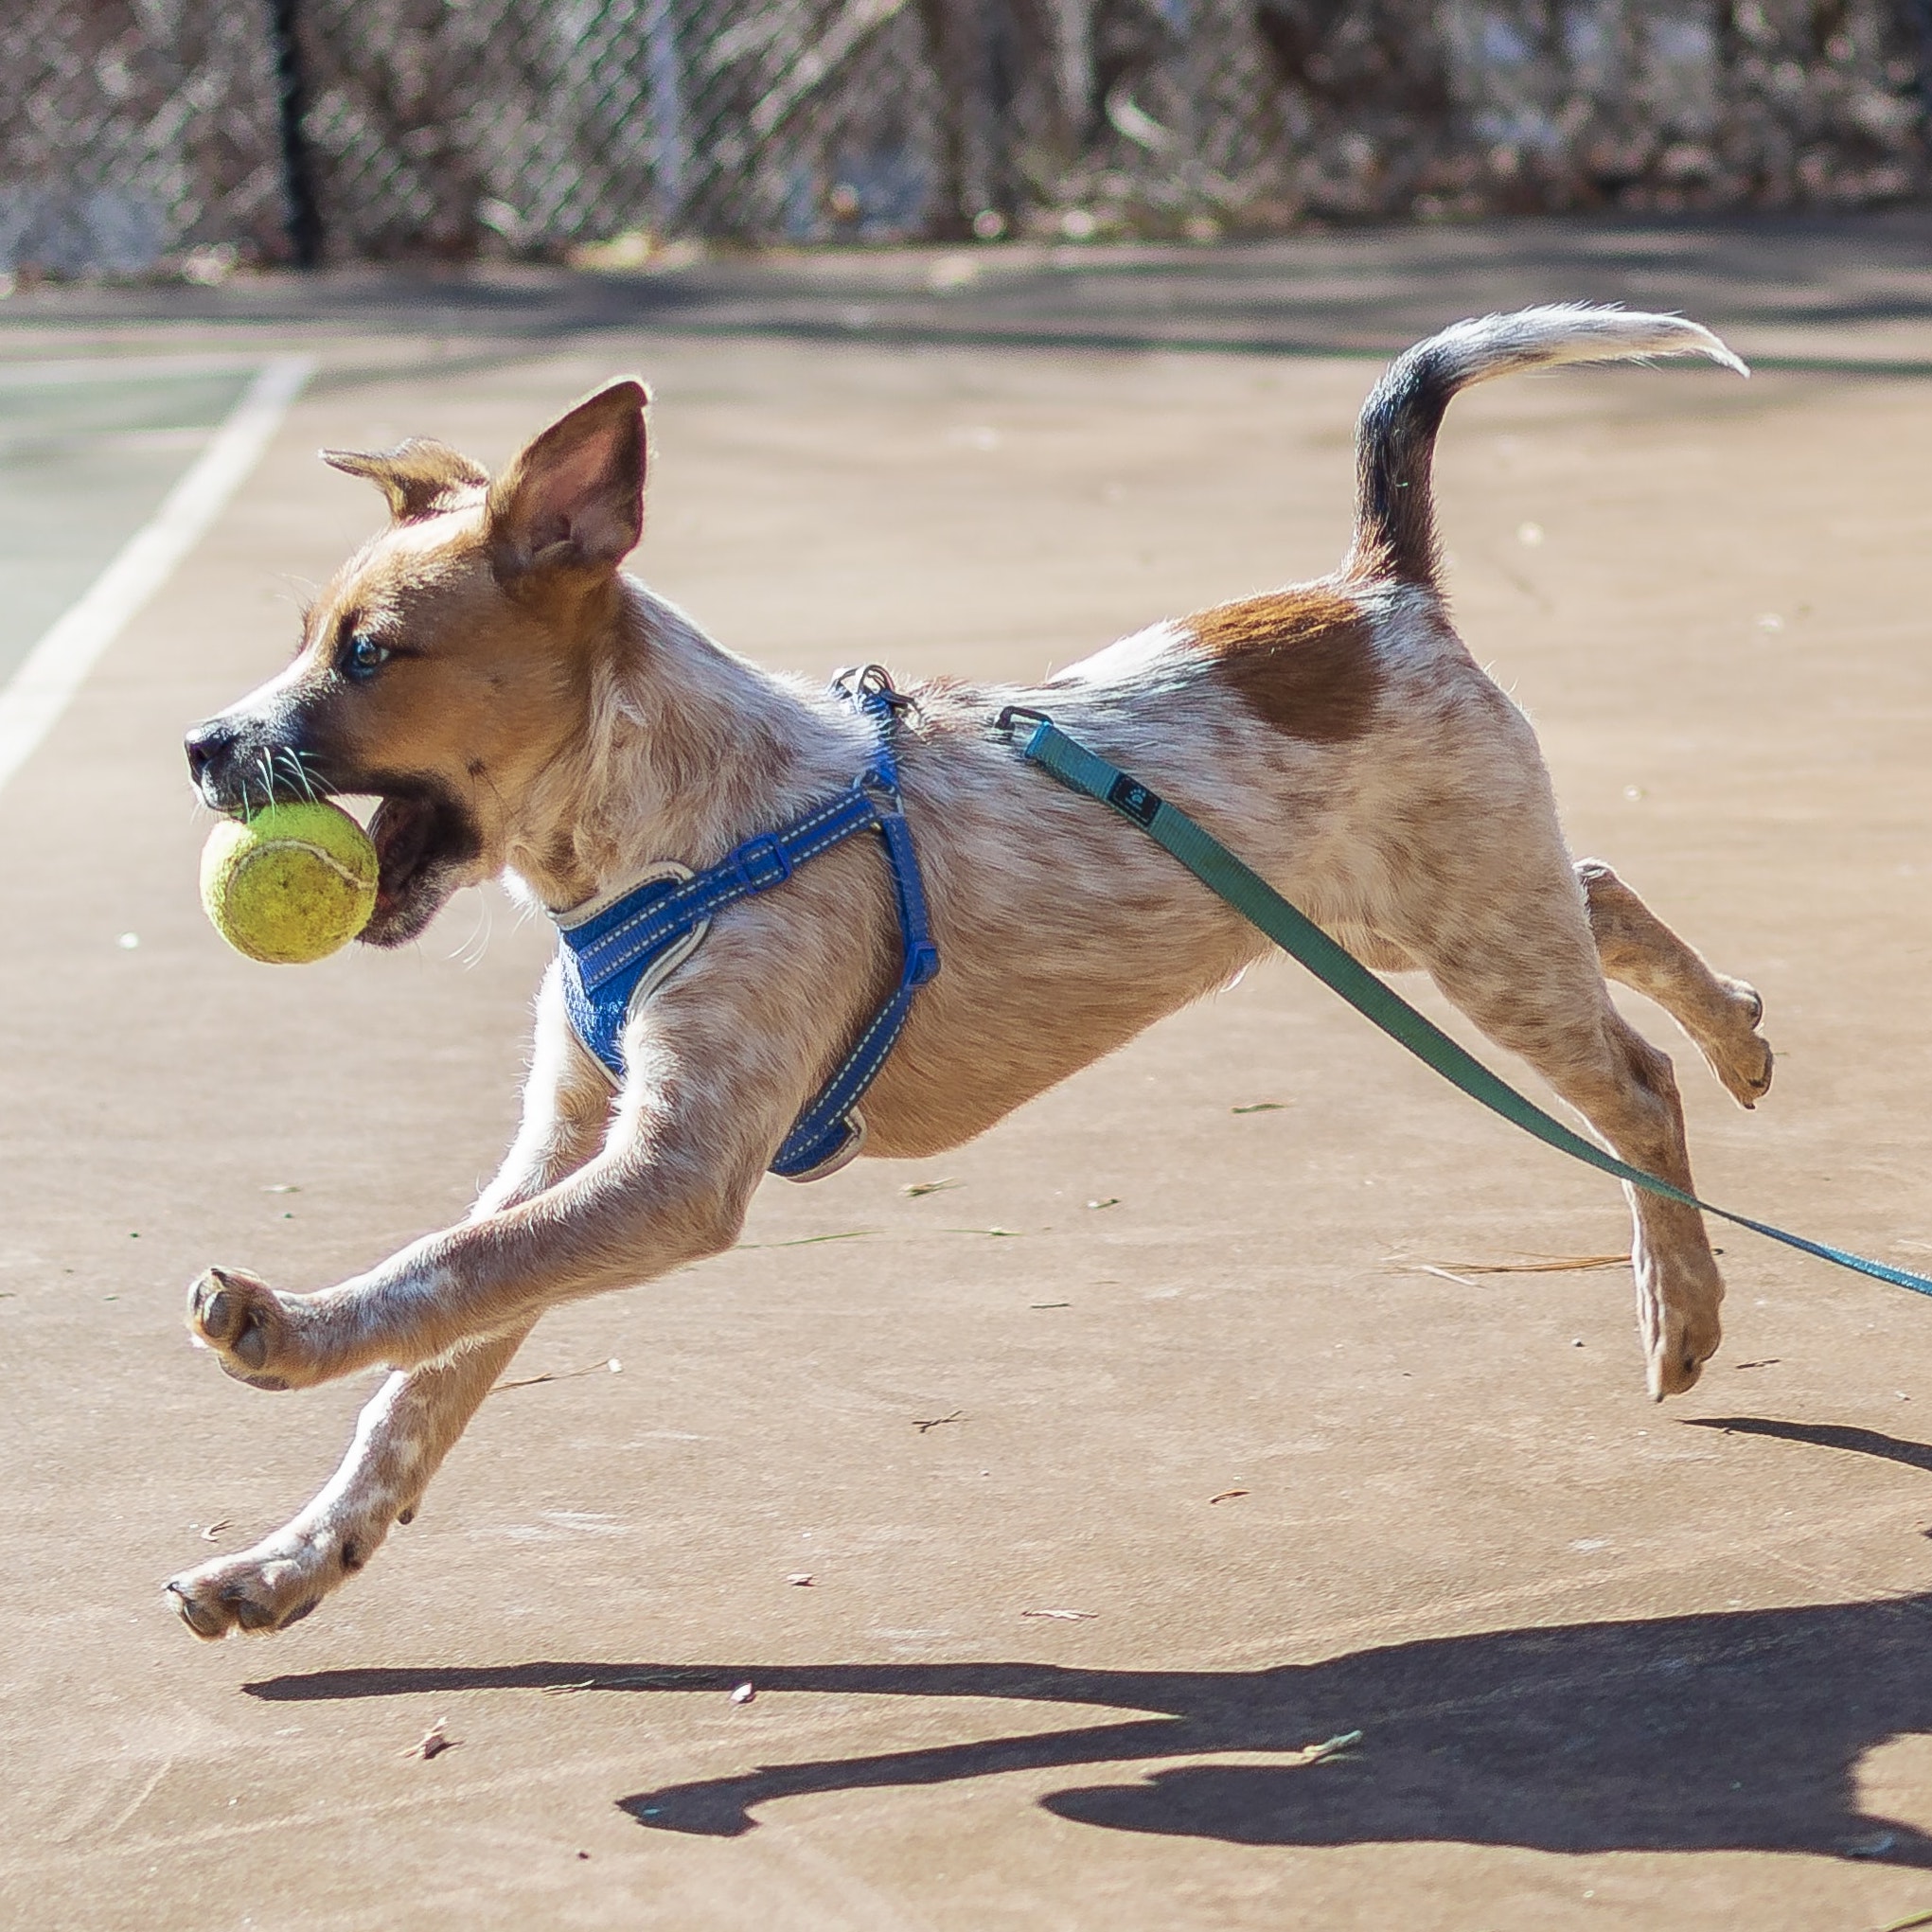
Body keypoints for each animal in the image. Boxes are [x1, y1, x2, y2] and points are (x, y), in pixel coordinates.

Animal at [173, 309, 1769, 1638]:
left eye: (369, 653)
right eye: (305, 636)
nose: (199, 744)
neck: (671, 835)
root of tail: (1384, 595)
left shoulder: (671, 1174)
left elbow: (448, 1270)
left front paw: (287, 1333)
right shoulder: (572, 1143)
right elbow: (430, 1370)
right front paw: (291, 1563)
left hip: (1468, 937)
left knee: (1634, 1081)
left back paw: (1682, 1297)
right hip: (1402, 915)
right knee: (1599, 892)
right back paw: (1741, 1032)